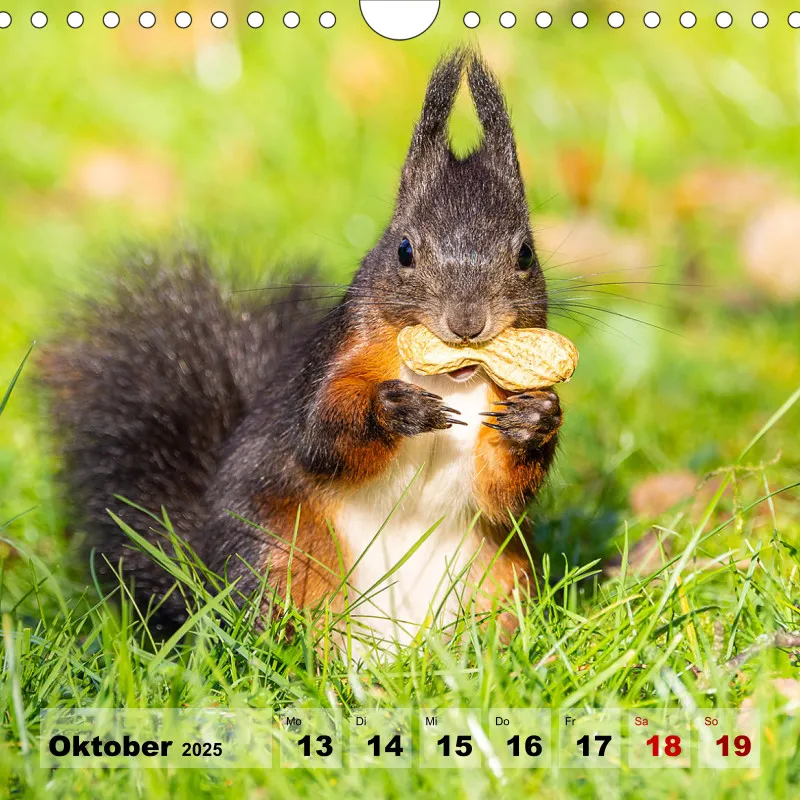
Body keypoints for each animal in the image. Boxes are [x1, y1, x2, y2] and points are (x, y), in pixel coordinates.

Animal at [40, 50, 562, 649]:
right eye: (404, 249)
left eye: (525, 254)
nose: (468, 323)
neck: (449, 377)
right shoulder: (338, 356)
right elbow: (319, 436)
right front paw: (392, 409)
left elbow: (502, 492)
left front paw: (535, 420)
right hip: (279, 554)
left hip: (500, 575)